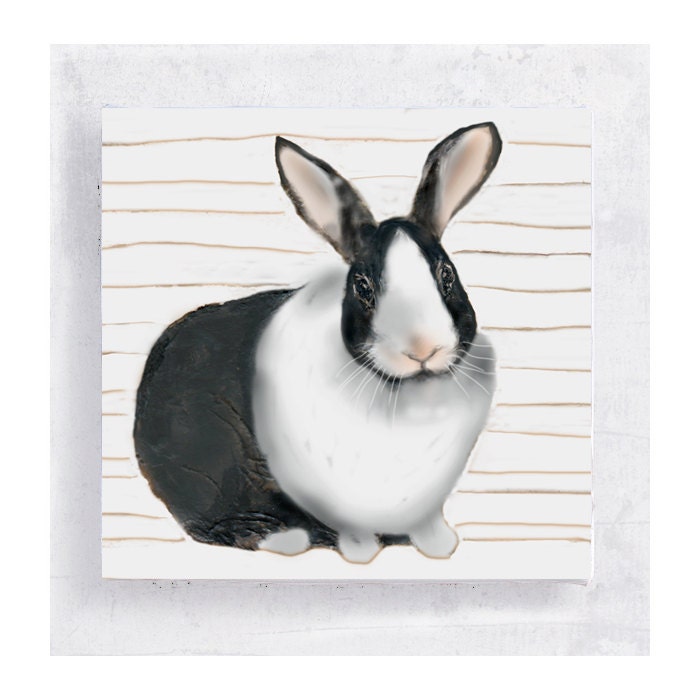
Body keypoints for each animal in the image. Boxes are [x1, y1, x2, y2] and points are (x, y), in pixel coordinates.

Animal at [133, 122, 502, 563]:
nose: (422, 349)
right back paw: (283, 537)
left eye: (447, 274)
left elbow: (427, 524)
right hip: (208, 459)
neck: (408, 390)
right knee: (208, 524)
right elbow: (353, 528)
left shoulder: (426, 505)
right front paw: (361, 554)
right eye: (362, 287)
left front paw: (441, 547)